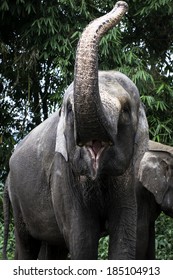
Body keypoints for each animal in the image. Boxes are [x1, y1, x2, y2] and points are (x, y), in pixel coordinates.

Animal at [2, 1, 149, 260]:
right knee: (27, 244)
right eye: (70, 109)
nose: (121, 4)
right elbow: (82, 237)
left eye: (125, 110)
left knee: (54, 248)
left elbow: (125, 236)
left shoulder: (131, 176)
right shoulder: (62, 171)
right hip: (17, 196)